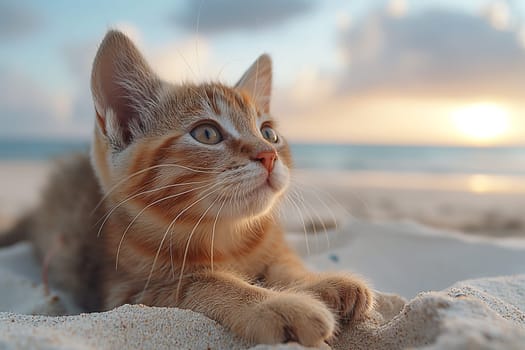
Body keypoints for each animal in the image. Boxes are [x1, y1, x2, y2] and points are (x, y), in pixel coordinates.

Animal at [0, 30, 372, 348]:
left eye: (269, 133)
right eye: (207, 133)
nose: (269, 155)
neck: (228, 238)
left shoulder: (271, 244)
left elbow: (284, 264)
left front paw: (322, 282)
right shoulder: (129, 292)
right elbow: (205, 282)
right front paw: (280, 306)